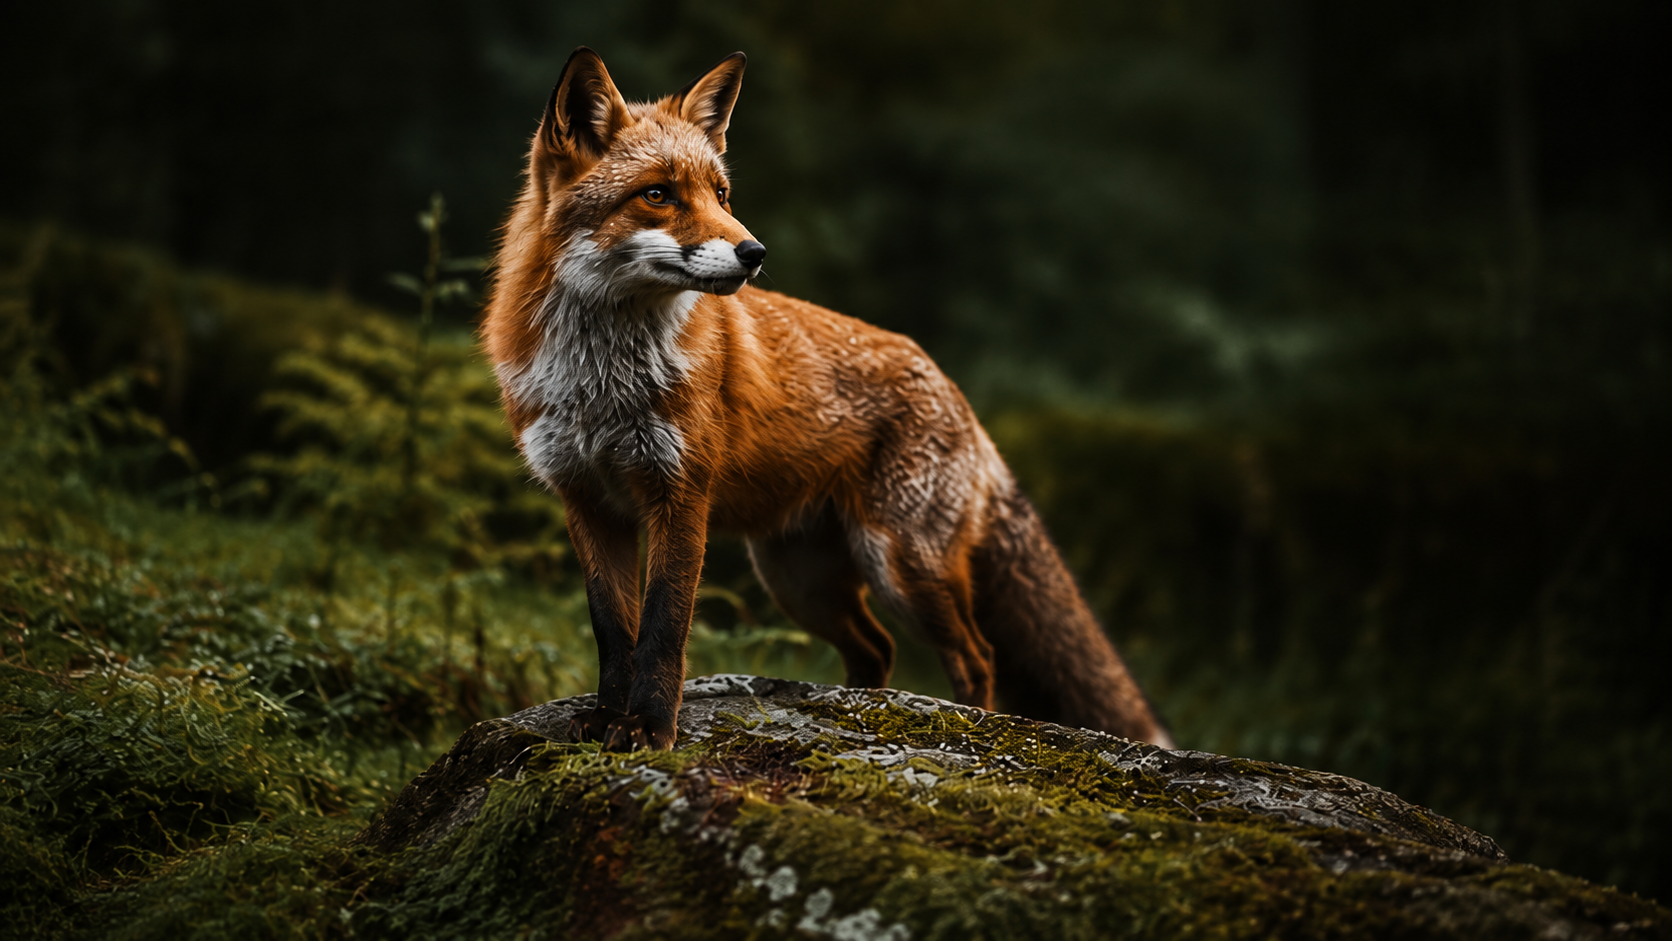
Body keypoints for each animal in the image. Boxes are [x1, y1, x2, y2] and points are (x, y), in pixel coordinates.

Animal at [482, 47, 1172, 751]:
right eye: (657, 194)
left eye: (721, 195)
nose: (755, 252)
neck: (601, 381)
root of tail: (950, 384)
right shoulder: (588, 501)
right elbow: (613, 630)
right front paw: (606, 720)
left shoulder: (680, 493)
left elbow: (664, 630)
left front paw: (649, 726)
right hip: (800, 582)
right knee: (878, 649)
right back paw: (859, 710)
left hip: (900, 565)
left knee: (976, 655)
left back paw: (965, 725)